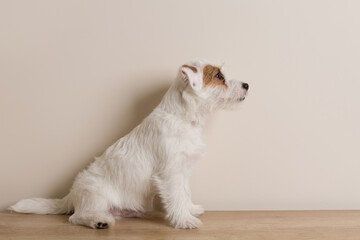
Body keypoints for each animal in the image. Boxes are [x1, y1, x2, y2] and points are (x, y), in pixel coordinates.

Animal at [9, 58, 249, 229]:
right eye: (219, 75)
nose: (247, 84)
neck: (182, 118)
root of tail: (71, 195)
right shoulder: (170, 173)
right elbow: (177, 196)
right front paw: (184, 220)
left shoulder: (183, 170)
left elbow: (185, 192)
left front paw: (190, 209)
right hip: (96, 196)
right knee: (76, 217)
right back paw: (99, 221)